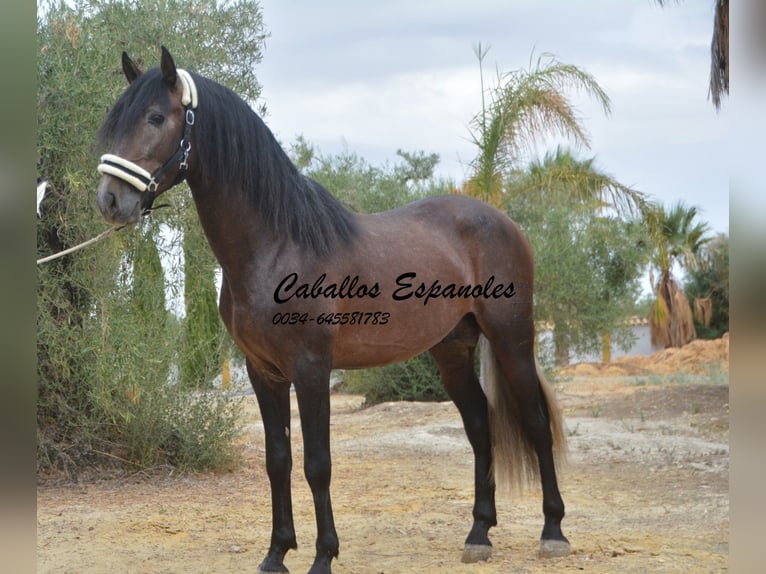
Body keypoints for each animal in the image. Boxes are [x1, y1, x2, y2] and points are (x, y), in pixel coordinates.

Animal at [96, 46, 572, 574]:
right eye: (115, 119)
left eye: (156, 117)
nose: (110, 200)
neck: (276, 246)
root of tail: (500, 220)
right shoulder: (263, 371)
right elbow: (278, 460)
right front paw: (276, 553)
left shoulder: (311, 368)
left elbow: (317, 464)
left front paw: (323, 556)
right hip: (452, 350)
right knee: (479, 426)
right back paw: (479, 534)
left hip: (513, 339)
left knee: (535, 422)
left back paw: (553, 531)